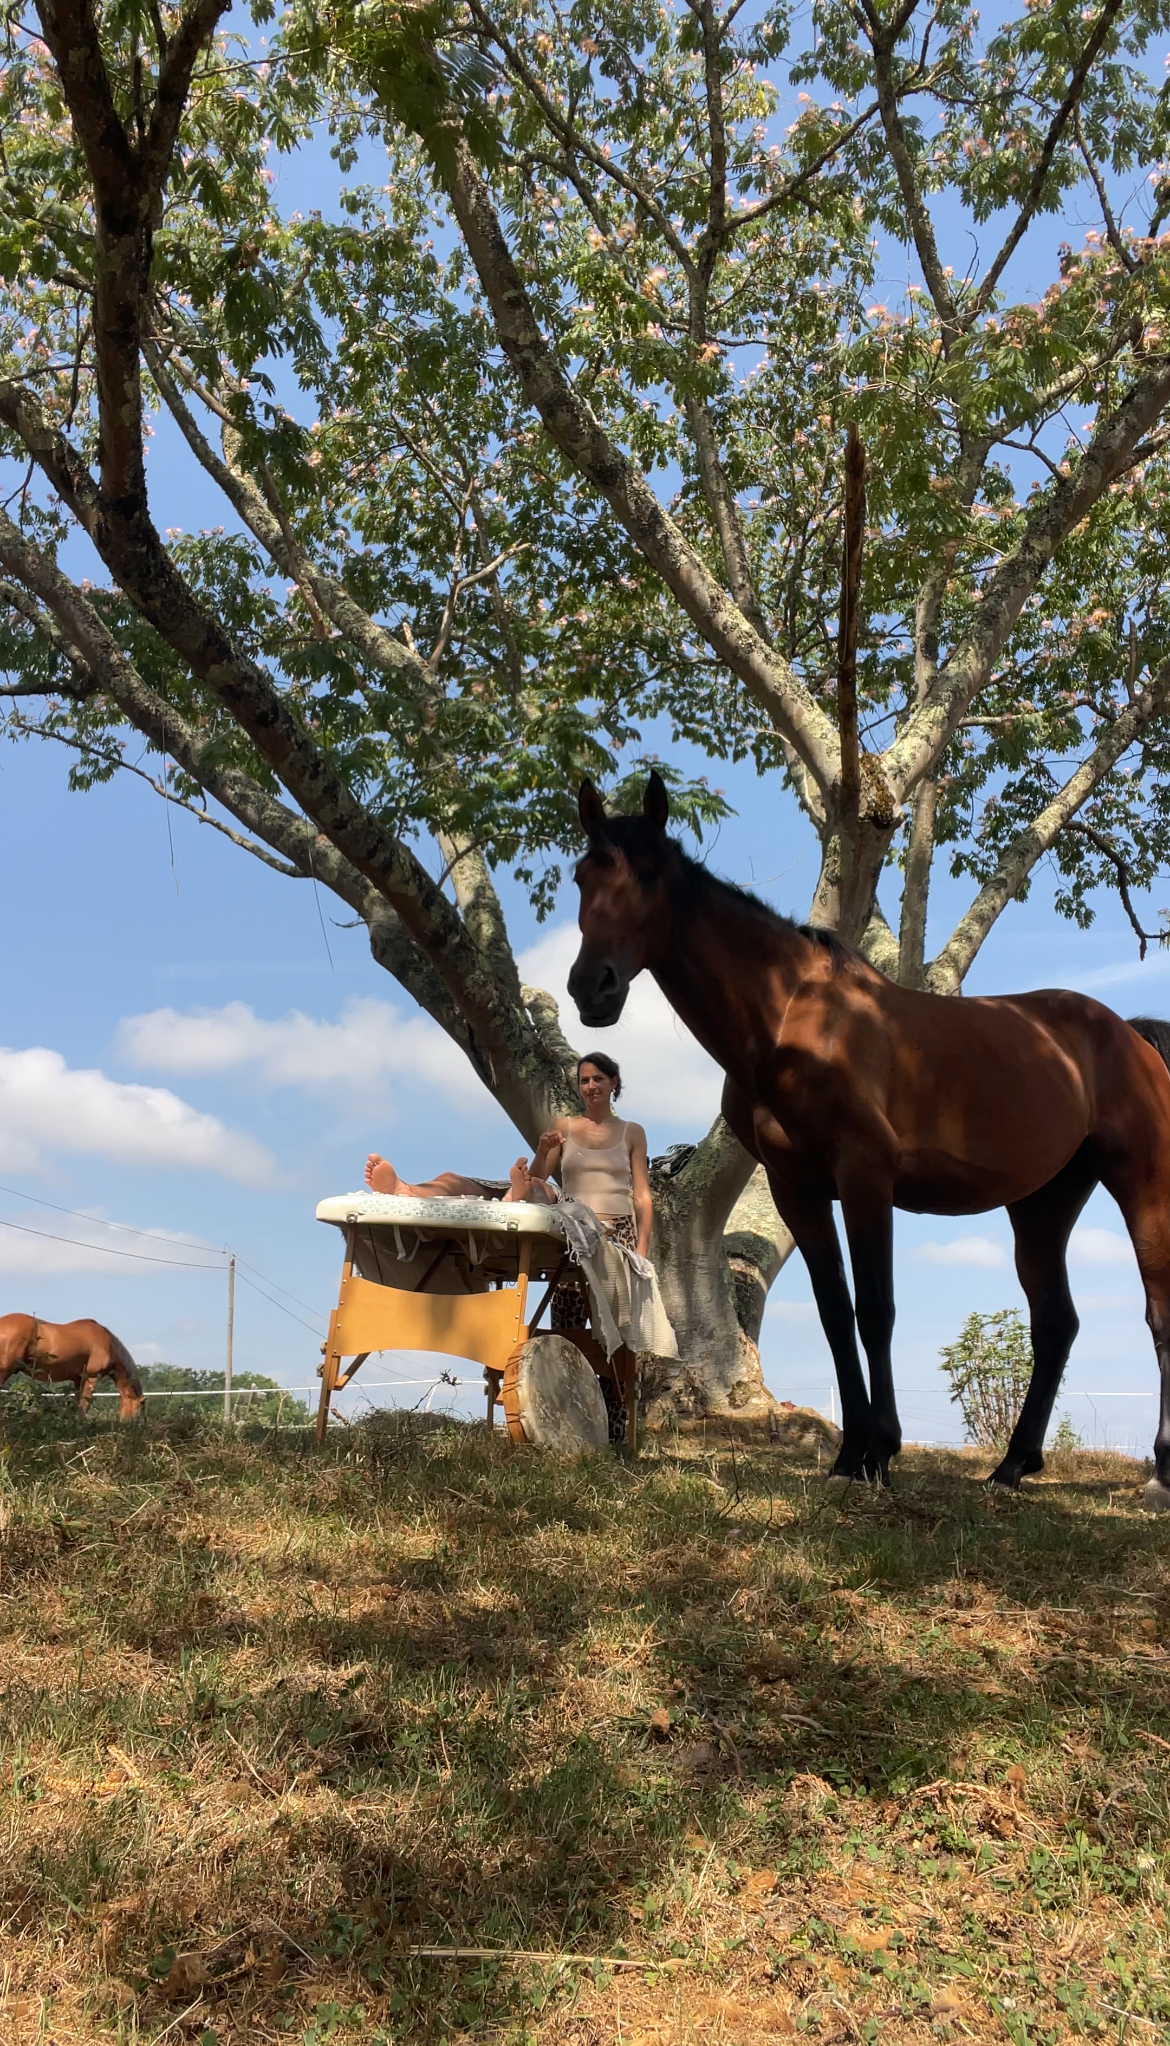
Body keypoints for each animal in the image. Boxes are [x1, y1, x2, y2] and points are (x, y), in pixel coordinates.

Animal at [0, 1315, 145, 1419]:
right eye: (139, 1411)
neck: (109, 1343)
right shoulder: (92, 1377)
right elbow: (85, 1404)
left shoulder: (78, 1380)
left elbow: (78, 1404)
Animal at [567, 774, 1170, 1510]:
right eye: (583, 875)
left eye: (650, 873)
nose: (590, 987)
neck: (793, 1018)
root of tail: (1129, 1033)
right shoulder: (797, 1189)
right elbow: (834, 1312)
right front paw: (851, 1453)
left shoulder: (865, 1179)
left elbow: (875, 1308)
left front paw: (880, 1449)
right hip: (1043, 1204)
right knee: (1056, 1321)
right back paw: (1010, 1467)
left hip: (1141, 1182)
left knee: (1158, 1311)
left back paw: (1160, 1473)